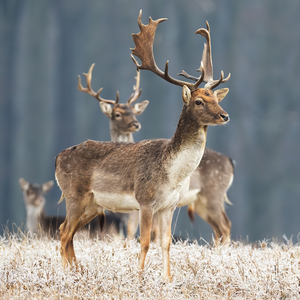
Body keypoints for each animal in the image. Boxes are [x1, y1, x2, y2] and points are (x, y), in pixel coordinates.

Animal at [55, 10, 230, 280]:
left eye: (215, 98)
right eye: (199, 101)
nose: (225, 115)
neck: (173, 174)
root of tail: (57, 158)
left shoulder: (169, 205)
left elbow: (166, 242)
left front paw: (168, 280)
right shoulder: (145, 200)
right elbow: (145, 241)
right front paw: (139, 278)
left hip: (93, 205)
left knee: (68, 232)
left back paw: (77, 272)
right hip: (75, 194)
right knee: (64, 232)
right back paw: (68, 274)